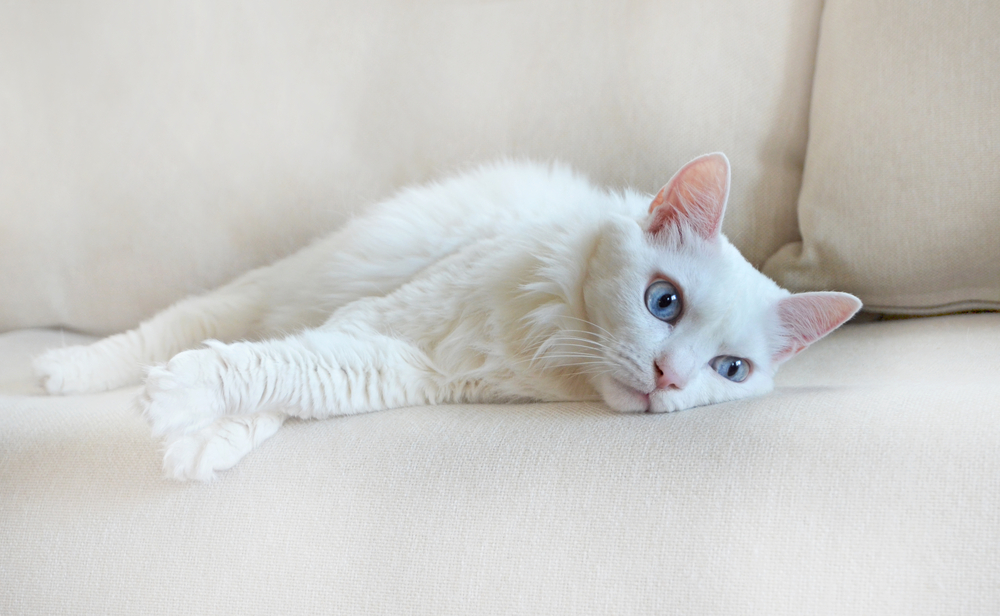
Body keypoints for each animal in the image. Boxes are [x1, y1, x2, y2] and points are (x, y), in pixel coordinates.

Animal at [33, 154, 860, 482]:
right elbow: (257, 364)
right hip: (276, 285)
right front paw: (176, 402)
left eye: (731, 370)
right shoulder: (376, 325)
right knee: (168, 326)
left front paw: (202, 443)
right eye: (665, 302)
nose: (669, 378)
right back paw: (60, 373)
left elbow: (283, 381)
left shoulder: (393, 367)